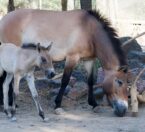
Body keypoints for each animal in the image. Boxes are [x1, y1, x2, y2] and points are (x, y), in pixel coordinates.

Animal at [0, 8, 128, 116]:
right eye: (120, 82)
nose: (124, 110)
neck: (88, 30)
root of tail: (3, 19)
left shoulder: (89, 60)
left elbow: (91, 81)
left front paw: (94, 104)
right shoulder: (72, 58)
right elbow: (65, 81)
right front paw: (58, 105)